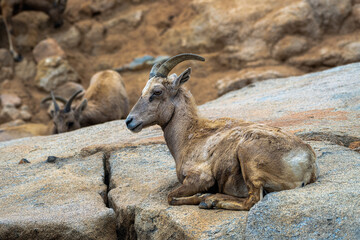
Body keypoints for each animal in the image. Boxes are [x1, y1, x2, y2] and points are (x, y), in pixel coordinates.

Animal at [126, 53, 318, 210]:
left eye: (157, 92)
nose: (129, 121)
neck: (188, 136)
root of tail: (307, 161)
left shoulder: (200, 178)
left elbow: (170, 197)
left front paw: (202, 196)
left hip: (248, 158)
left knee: (252, 200)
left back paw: (210, 200)